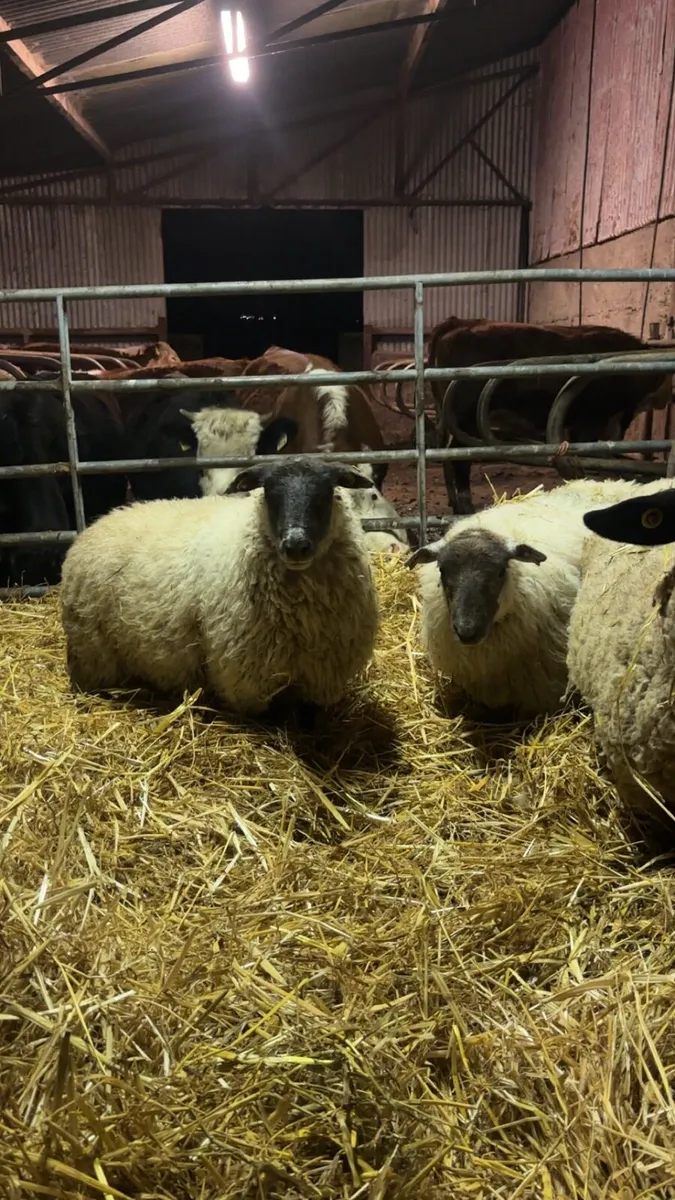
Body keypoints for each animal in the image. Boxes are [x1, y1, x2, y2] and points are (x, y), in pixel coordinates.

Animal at [60, 459, 379, 716]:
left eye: (325, 493)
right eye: (270, 493)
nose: (296, 545)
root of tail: (98, 522)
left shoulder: (321, 676)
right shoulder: (246, 677)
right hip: (94, 651)